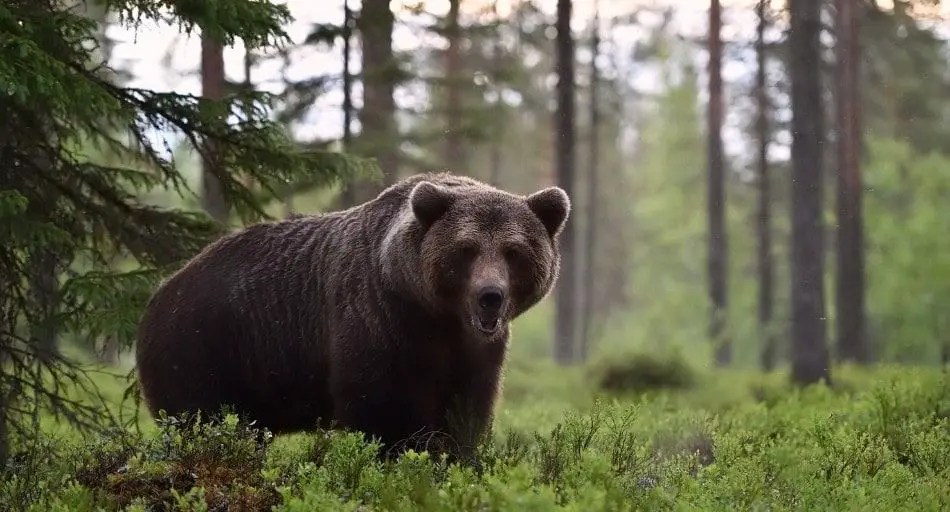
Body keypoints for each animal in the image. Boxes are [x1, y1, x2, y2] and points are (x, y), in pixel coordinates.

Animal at [134, 172, 570, 458]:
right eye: (466, 249)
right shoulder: (378, 321)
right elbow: (381, 408)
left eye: (514, 251)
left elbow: (466, 409)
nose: (490, 296)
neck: (434, 315)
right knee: (200, 418)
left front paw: (453, 455)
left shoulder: (476, 352)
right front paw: (403, 455)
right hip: (203, 347)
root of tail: (159, 291)